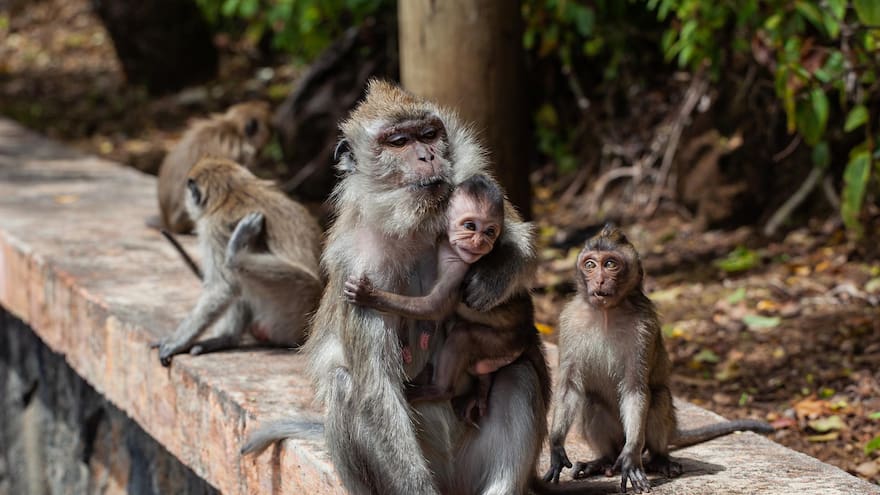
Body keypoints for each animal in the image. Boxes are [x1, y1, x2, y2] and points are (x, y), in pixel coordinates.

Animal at [153, 157, 323, 366]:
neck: (233, 191)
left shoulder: (213, 227)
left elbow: (223, 287)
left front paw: (177, 342)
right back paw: (227, 339)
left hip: (293, 310)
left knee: (237, 273)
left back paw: (235, 254)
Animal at [342, 173, 533, 419]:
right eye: (470, 226)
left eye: (490, 231)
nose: (480, 242)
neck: (448, 246)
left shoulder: (459, 267)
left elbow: (434, 306)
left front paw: (369, 296)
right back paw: (482, 387)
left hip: (504, 342)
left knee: (462, 336)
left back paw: (441, 390)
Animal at [543, 225, 774, 493]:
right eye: (590, 265)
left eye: (610, 264)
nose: (599, 280)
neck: (607, 312)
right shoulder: (569, 320)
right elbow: (569, 386)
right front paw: (556, 446)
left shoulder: (645, 326)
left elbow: (636, 389)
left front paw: (631, 457)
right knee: (592, 401)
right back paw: (604, 461)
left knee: (658, 397)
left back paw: (658, 458)